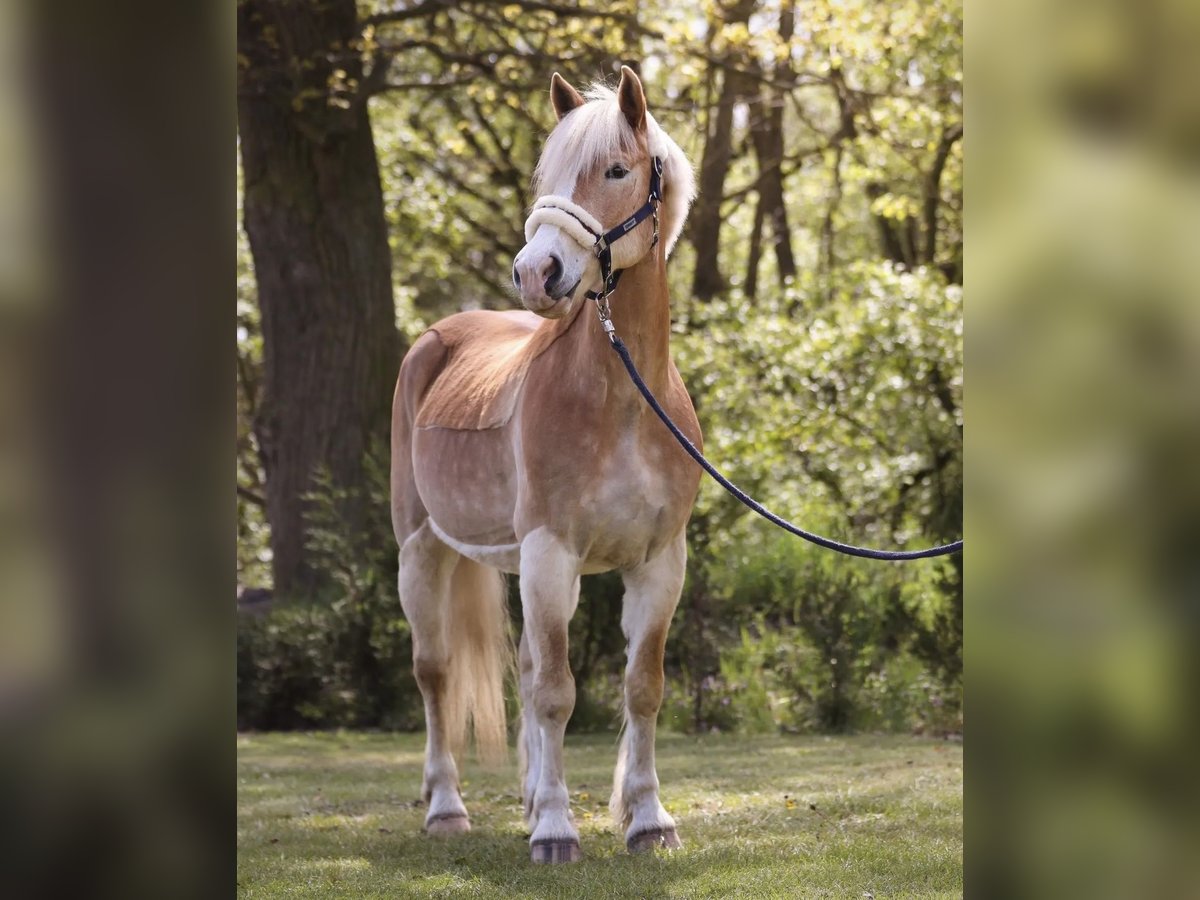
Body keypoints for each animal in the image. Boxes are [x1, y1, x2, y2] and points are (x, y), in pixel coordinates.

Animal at [388, 66, 700, 864]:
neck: (625, 403)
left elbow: (641, 687)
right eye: (546, 173)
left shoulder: (658, 563)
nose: (537, 272)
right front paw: (557, 830)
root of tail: (437, 338)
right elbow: (558, 693)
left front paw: (648, 820)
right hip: (423, 551)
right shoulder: (549, 552)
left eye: (616, 170)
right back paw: (447, 808)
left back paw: (527, 798)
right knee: (435, 674)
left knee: (527, 671)